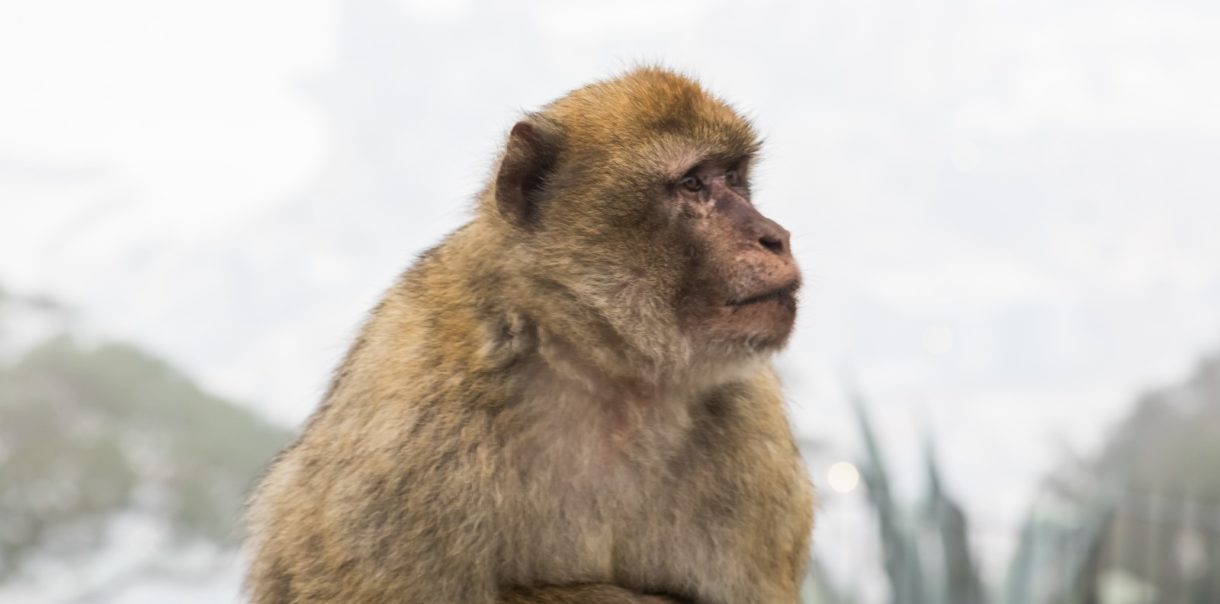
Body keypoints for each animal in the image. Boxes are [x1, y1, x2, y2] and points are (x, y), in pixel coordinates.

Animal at [242, 67, 814, 604]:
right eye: (693, 184)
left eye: (734, 178)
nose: (775, 236)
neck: (607, 375)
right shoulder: (409, 433)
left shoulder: (753, 433)